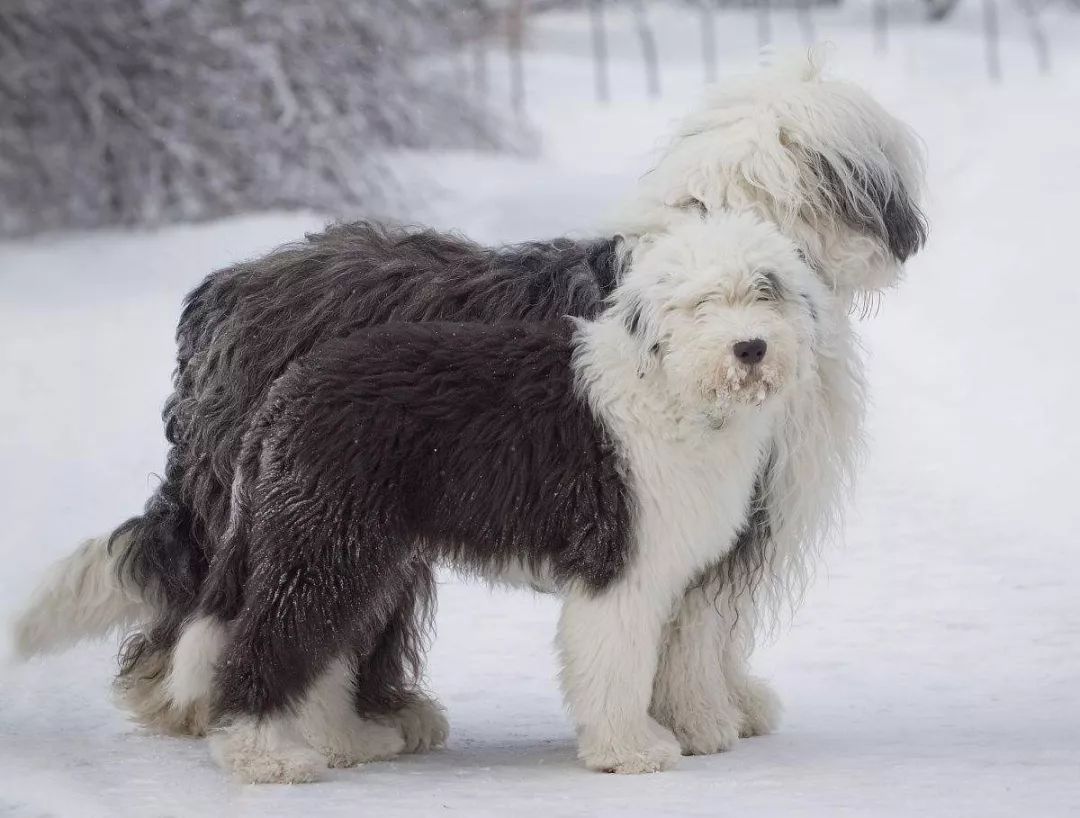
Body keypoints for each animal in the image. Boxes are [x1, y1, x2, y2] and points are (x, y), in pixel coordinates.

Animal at [12, 54, 924, 782]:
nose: (908, 234)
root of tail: (223, 290)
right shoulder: (691, 517)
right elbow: (695, 630)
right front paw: (700, 724)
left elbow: (699, 627)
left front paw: (723, 707)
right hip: (309, 518)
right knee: (230, 619)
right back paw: (227, 719)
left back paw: (351, 725)